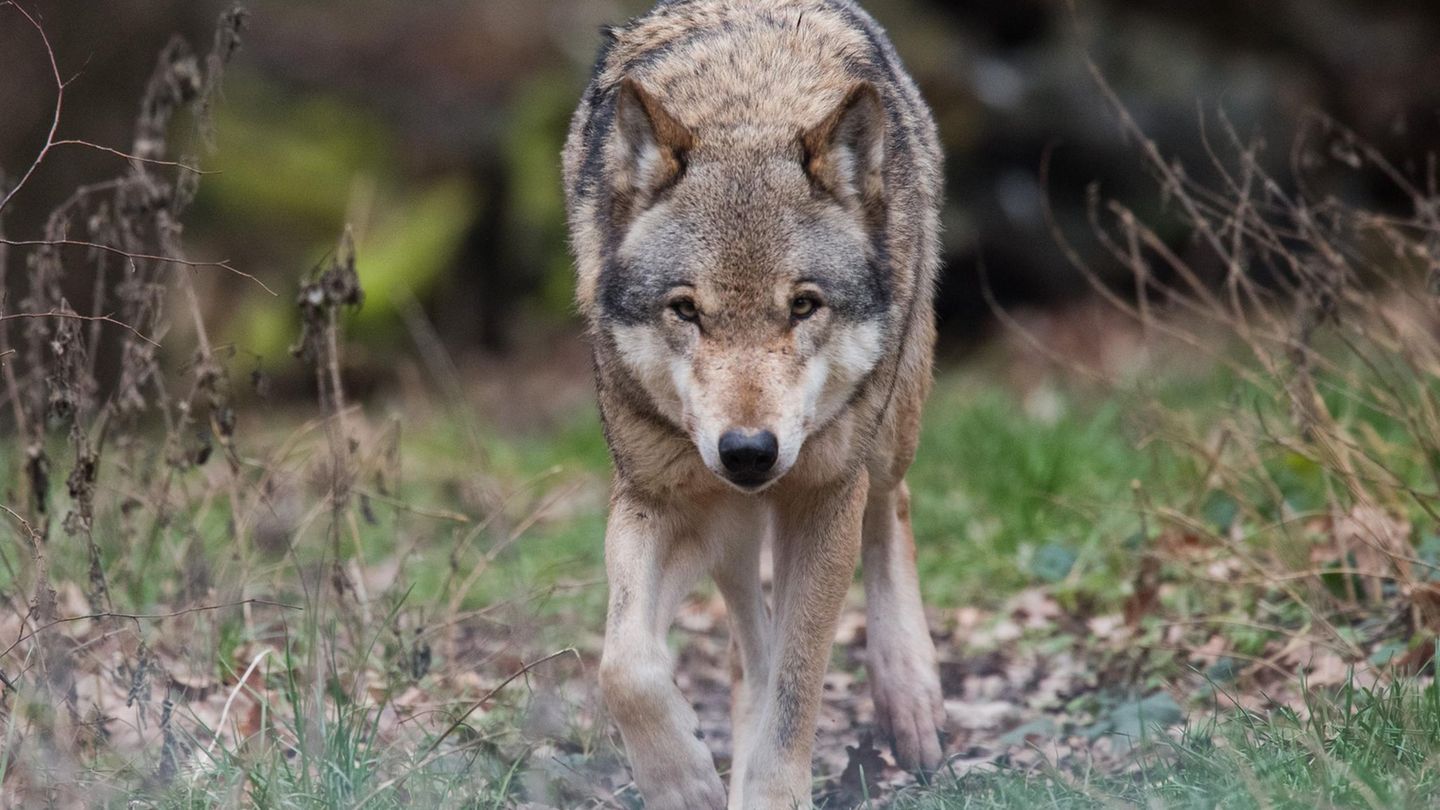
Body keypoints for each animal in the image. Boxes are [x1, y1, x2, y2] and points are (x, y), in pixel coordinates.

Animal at [562, 0, 945, 806]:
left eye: (803, 305)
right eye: (686, 310)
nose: (747, 452)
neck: (748, 109)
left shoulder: (824, 496)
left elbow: (798, 688)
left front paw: (768, 789)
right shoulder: (660, 497)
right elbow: (625, 667)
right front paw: (684, 781)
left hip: (886, 429)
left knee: (891, 505)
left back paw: (911, 698)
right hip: (728, 523)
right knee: (747, 634)